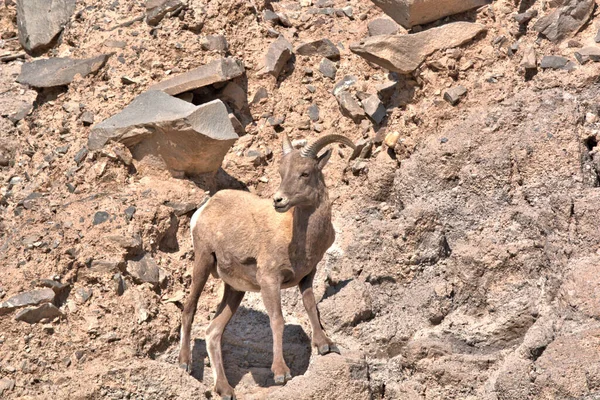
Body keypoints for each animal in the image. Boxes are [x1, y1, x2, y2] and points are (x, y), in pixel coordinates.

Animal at [178, 134, 356, 400]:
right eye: (282, 172)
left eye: (304, 173)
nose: (278, 200)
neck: (298, 236)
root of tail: (203, 209)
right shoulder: (270, 281)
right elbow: (277, 320)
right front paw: (281, 373)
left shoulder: (307, 276)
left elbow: (311, 306)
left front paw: (326, 345)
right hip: (203, 261)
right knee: (189, 309)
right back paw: (184, 363)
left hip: (235, 290)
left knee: (213, 332)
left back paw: (225, 389)